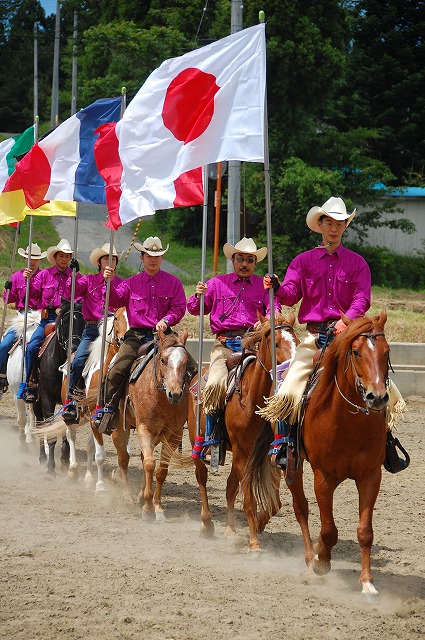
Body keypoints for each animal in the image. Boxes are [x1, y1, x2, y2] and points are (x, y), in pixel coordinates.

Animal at [187, 310, 300, 544]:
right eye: (276, 344)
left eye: (297, 341)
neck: (251, 398)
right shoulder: (242, 453)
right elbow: (249, 501)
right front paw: (254, 543)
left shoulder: (268, 454)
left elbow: (274, 503)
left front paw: (258, 526)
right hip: (198, 440)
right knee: (202, 477)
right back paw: (207, 523)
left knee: (230, 487)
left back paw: (230, 530)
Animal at [243, 310, 392, 596]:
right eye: (355, 351)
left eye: (387, 351)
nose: (377, 397)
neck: (349, 422)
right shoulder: (323, 478)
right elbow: (328, 530)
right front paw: (322, 562)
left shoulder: (371, 476)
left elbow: (365, 531)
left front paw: (367, 582)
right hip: (292, 464)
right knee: (301, 508)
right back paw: (310, 555)